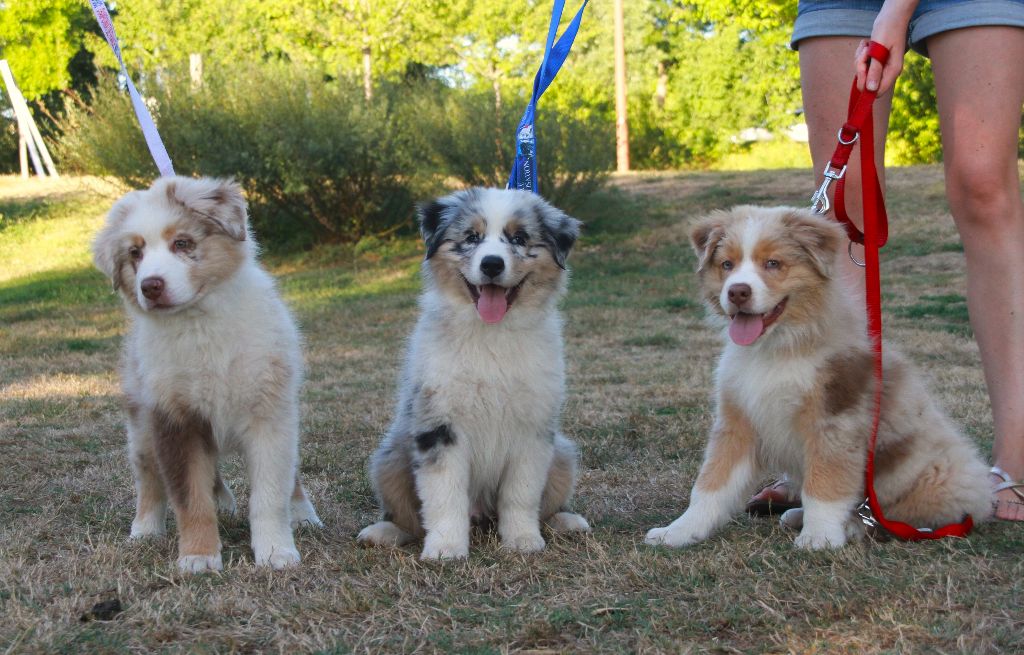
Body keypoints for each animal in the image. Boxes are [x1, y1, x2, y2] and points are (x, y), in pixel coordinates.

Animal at [95, 176, 321, 569]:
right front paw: (199, 557)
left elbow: (270, 493)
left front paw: (276, 552)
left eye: (182, 243)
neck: (199, 323)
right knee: (150, 479)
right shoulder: (174, 419)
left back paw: (302, 515)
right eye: (135, 254)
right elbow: (189, 497)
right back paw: (145, 530)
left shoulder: (269, 414)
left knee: (290, 476)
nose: (150, 286)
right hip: (141, 426)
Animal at [358, 186, 593, 560]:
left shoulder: (533, 427)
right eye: (471, 237)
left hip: (562, 455)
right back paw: (383, 532)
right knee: (408, 517)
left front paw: (522, 541)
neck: (490, 333)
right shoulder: (439, 424)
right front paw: (445, 549)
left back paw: (564, 521)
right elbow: (444, 495)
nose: (492, 264)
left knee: (546, 502)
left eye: (519, 238)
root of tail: (481, 513)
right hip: (390, 458)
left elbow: (522, 492)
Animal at [647, 206, 991, 548]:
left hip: (929, 475)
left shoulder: (833, 419)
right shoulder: (736, 420)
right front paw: (679, 531)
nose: (737, 292)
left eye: (773, 264)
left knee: (901, 517)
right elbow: (710, 484)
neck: (778, 349)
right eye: (726, 265)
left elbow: (825, 484)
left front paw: (820, 536)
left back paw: (850, 526)